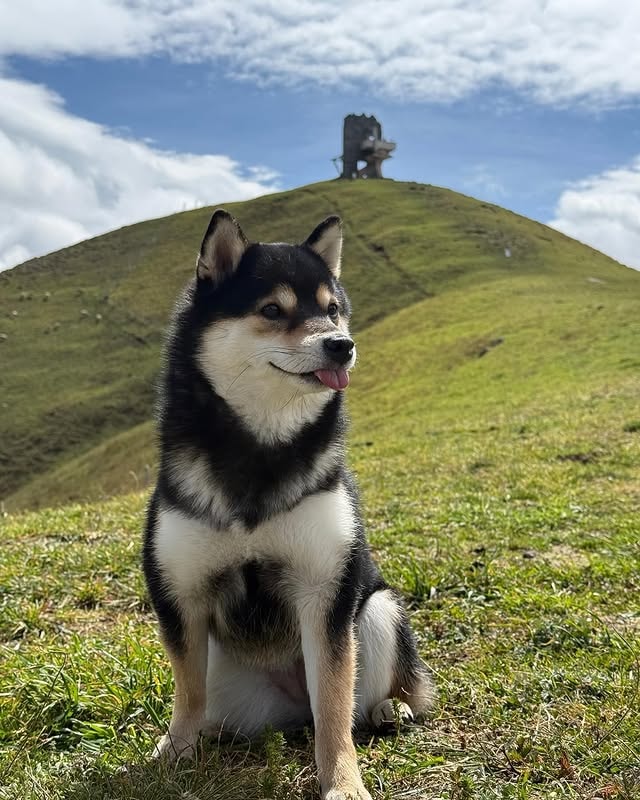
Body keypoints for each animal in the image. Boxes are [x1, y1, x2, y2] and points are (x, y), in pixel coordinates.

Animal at [144, 209, 436, 796]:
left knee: (361, 699)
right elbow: (187, 690)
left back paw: (389, 710)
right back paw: (210, 733)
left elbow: (334, 704)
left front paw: (342, 781)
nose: (341, 344)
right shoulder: (180, 593)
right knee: (217, 701)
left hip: (377, 609)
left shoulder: (325, 591)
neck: (262, 449)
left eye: (332, 309)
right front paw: (176, 750)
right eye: (273, 310)